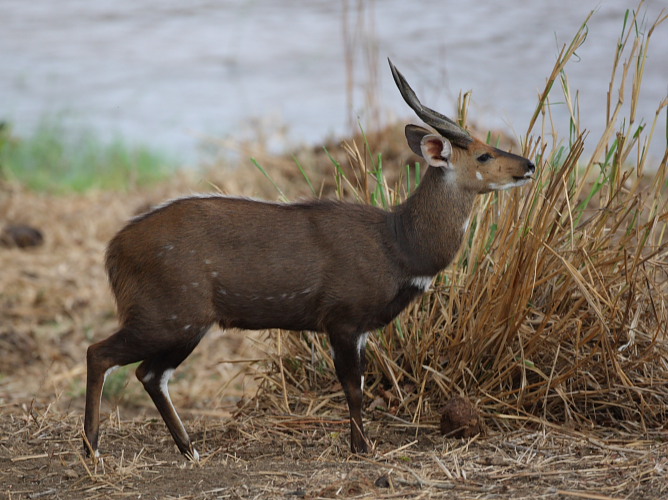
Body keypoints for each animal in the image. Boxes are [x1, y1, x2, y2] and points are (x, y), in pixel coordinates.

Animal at [83, 58, 536, 460]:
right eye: (482, 155)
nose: (529, 165)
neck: (398, 245)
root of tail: (114, 251)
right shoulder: (342, 319)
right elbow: (353, 388)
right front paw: (362, 449)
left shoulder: (361, 329)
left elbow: (359, 384)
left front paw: (360, 445)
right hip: (170, 316)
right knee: (100, 353)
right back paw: (94, 450)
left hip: (185, 324)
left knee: (150, 373)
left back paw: (190, 450)